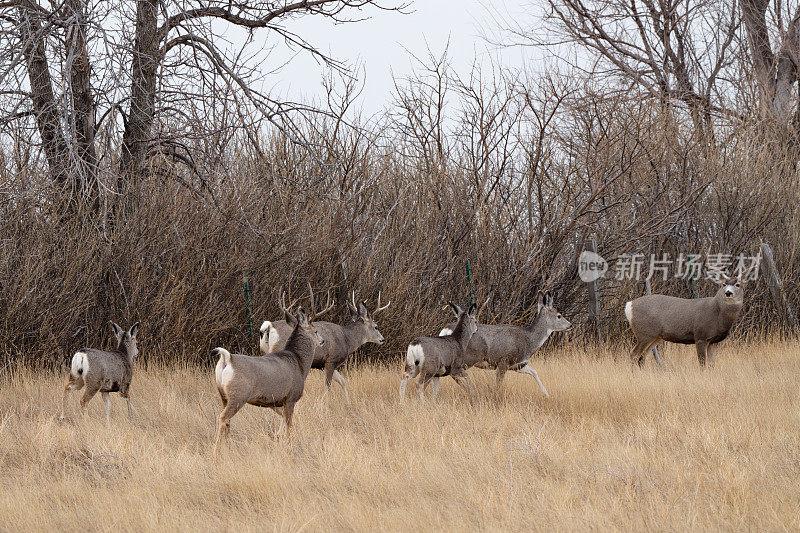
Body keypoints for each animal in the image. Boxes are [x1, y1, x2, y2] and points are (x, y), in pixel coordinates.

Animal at [260, 284, 390, 402]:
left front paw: (347, 403)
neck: (347, 339)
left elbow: (342, 381)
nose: (382, 339)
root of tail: (269, 326)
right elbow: (328, 385)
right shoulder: (331, 359)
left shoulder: (322, 364)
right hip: (279, 350)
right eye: (376, 327)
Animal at [438, 290, 568, 394]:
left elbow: (534, 372)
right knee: (454, 373)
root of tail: (447, 329)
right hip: (468, 357)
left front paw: (546, 394)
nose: (570, 325)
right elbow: (498, 384)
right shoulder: (503, 360)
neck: (529, 341)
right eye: (559, 315)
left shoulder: (517, 364)